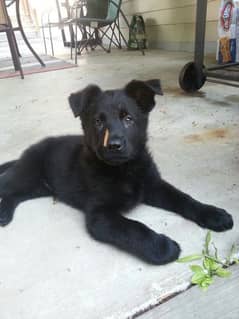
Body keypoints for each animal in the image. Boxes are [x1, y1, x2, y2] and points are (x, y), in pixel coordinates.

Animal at [0, 80, 232, 264]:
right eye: (98, 121)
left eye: (128, 118)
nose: (114, 145)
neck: (125, 170)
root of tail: (26, 152)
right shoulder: (100, 215)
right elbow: (134, 228)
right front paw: (163, 248)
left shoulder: (153, 185)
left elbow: (183, 198)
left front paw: (213, 214)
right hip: (26, 175)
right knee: (8, 187)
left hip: (39, 188)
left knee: (15, 195)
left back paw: (4, 213)